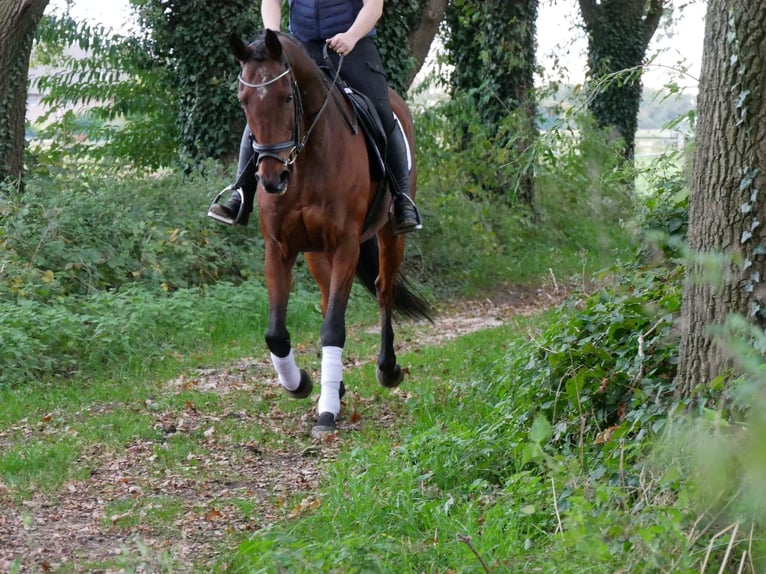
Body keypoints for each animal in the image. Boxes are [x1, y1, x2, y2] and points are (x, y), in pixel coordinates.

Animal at [226, 29, 432, 438]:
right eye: (243, 102)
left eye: (287, 97)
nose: (272, 180)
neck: (305, 161)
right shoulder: (280, 248)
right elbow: (276, 334)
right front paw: (302, 384)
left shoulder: (345, 245)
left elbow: (334, 328)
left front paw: (326, 414)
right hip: (315, 253)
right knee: (326, 301)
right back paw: (332, 386)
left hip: (389, 233)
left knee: (384, 289)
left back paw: (387, 369)